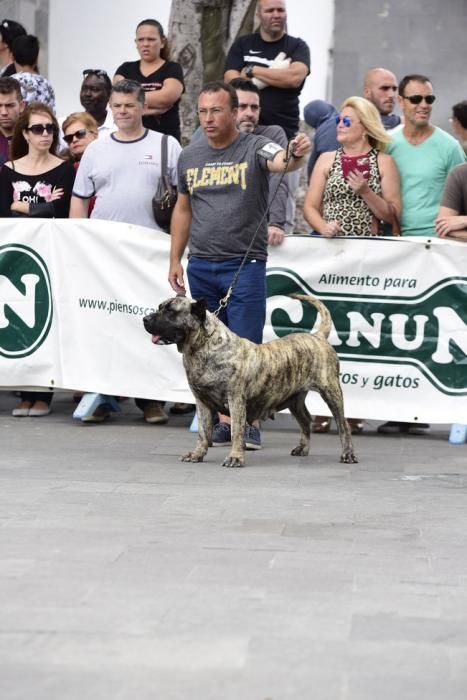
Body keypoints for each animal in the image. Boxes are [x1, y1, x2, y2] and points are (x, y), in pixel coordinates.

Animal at [143, 292, 358, 468]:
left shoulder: (235, 400)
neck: (202, 346)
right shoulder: (202, 401)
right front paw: (197, 454)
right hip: (294, 399)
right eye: (160, 307)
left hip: (331, 392)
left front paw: (235, 458)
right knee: (305, 421)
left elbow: (237, 431)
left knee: (343, 426)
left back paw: (348, 454)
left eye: (170, 311)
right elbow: (203, 433)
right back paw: (302, 449)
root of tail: (318, 336)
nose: (145, 319)